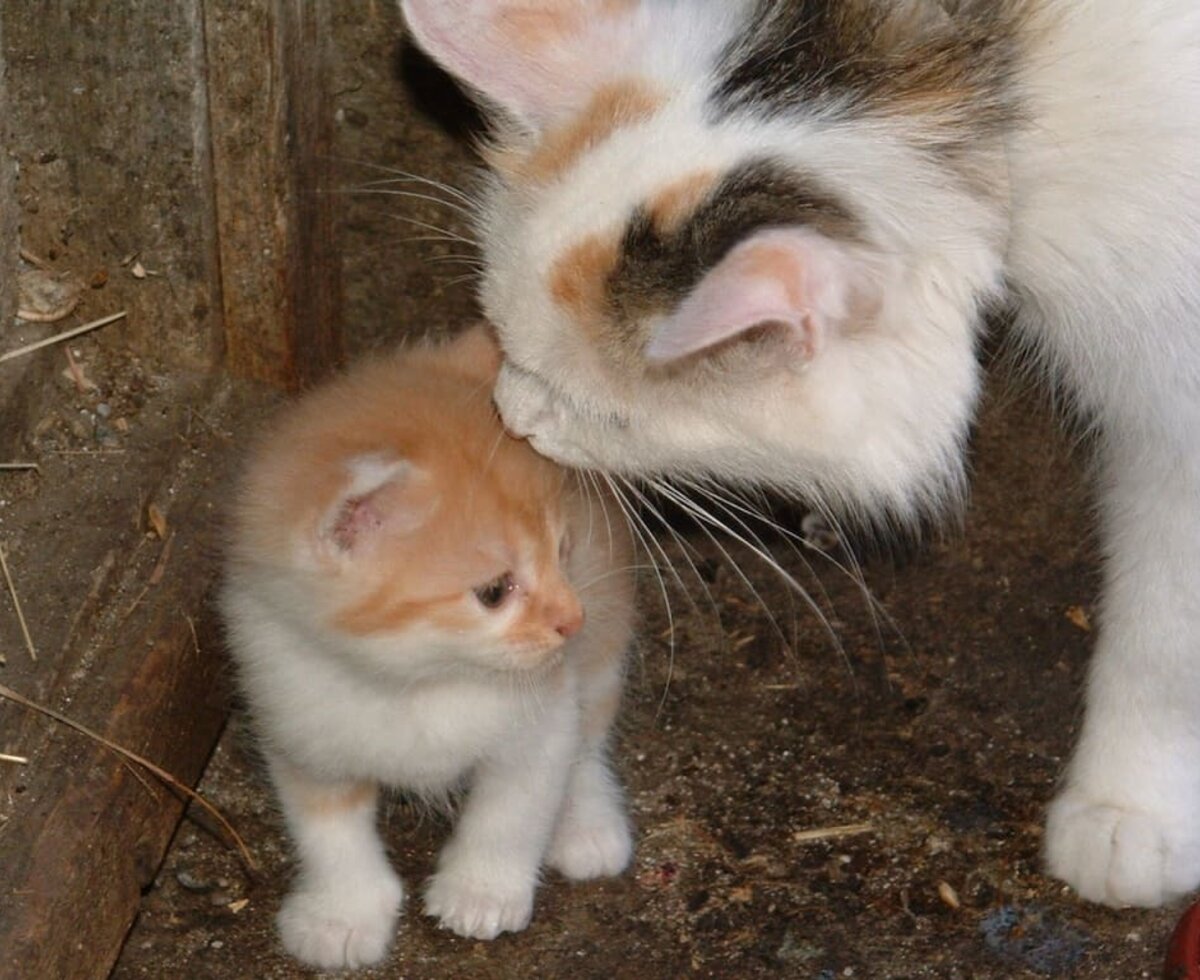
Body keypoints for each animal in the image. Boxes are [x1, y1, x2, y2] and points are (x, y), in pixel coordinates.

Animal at [224, 323, 638, 969]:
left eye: (563, 550)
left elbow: (514, 808)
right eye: (493, 592)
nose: (571, 620)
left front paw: (481, 893)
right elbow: (326, 831)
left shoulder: (540, 722)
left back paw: (587, 825)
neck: (418, 678)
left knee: (591, 730)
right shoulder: (297, 722)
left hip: (607, 628)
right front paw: (341, 913)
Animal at [400, 0, 1200, 911]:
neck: (984, 83)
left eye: (603, 415)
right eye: (502, 339)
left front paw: (1128, 807)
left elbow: (1164, 631)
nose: (515, 416)